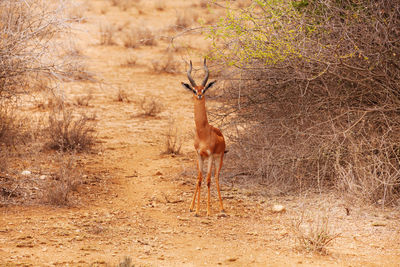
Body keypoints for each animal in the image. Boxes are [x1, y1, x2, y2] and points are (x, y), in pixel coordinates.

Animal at [180, 59, 225, 218]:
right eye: (194, 89)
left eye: (204, 89)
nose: (199, 95)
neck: (203, 133)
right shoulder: (199, 155)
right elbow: (199, 179)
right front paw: (197, 210)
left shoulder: (210, 155)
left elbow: (208, 180)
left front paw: (208, 210)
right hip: (203, 159)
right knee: (201, 178)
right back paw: (191, 206)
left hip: (219, 159)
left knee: (216, 177)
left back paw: (221, 207)